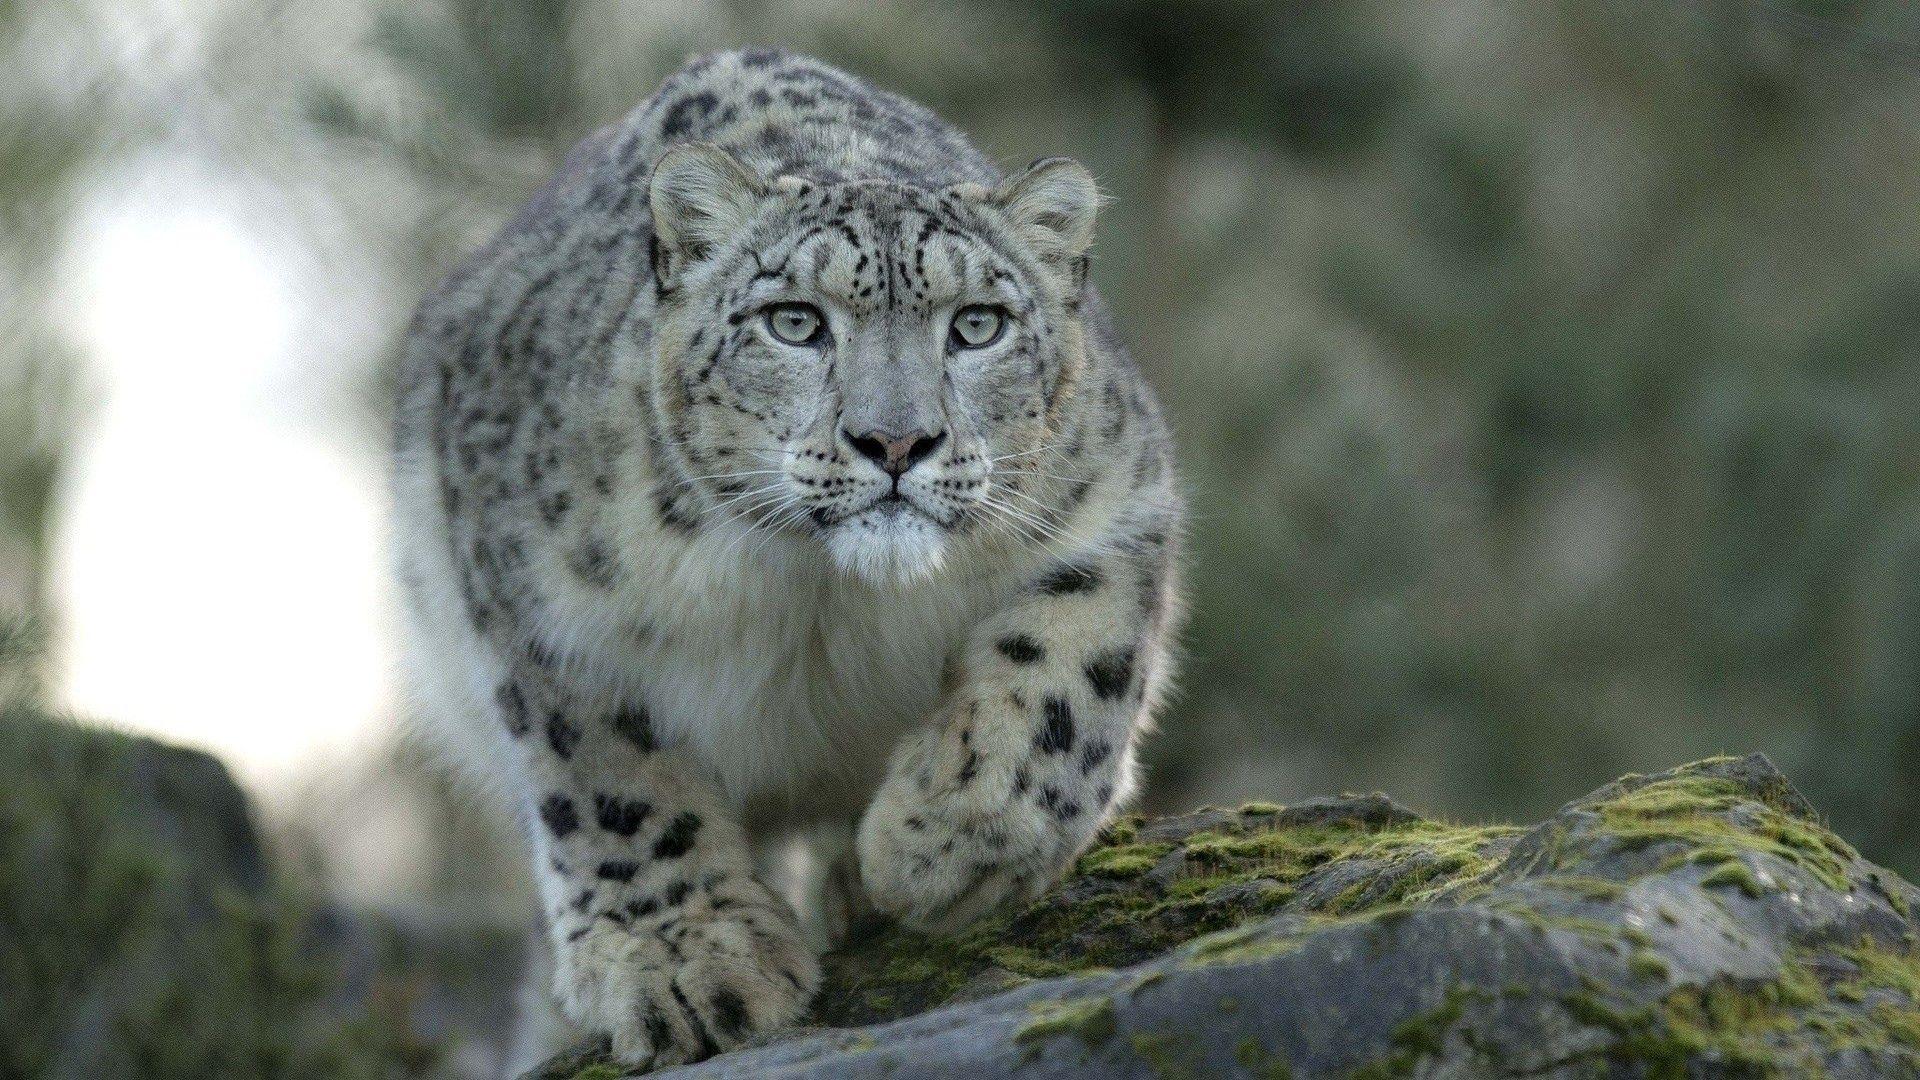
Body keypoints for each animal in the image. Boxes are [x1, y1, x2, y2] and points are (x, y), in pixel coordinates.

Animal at [391, 47, 1183, 1070]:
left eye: (977, 324)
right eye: (795, 322)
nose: (896, 440)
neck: (823, 595)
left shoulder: (1118, 502)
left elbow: (1066, 678)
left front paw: (942, 843)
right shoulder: (536, 600)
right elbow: (608, 777)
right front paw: (688, 962)